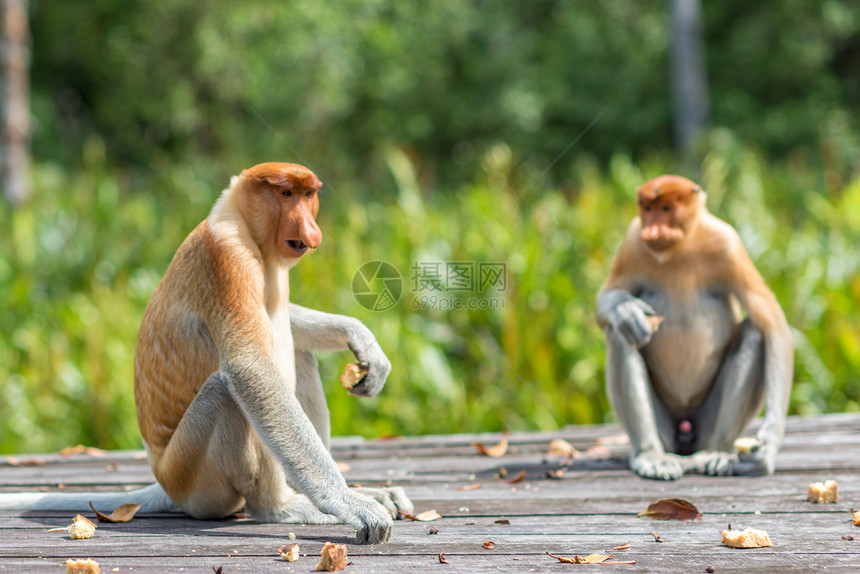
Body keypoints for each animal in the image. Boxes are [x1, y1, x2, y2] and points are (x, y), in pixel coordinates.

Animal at [0, 162, 414, 544]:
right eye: (286, 195)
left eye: (308, 195)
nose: (311, 230)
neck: (241, 220)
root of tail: (164, 479)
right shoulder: (228, 257)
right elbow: (250, 367)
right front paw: (349, 503)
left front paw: (359, 338)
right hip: (194, 475)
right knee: (227, 388)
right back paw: (282, 507)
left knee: (298, 355)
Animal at [596, 174, 792, 482]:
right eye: (647, 208)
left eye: (665, 208)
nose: (652, 231)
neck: (681, 249)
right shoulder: (633, 241)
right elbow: (605, 299)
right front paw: (626, 312)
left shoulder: (729, 243)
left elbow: (773, 324)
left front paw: (768, 446)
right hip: (666, 430)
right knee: (619, 336)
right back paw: (652, 457)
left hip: (706, 425)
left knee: (754, 332)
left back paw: (718, 454)